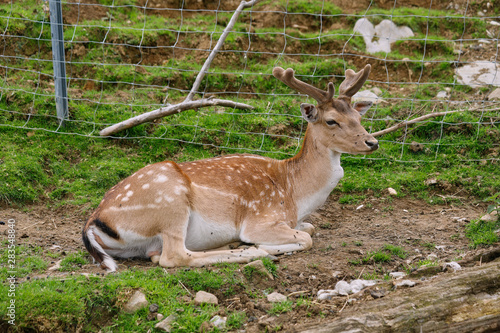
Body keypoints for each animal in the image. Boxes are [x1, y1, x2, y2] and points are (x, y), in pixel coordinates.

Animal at [83, 63, 378, 272]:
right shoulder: (261, 218)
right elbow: (306, 238)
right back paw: (251, 250)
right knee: (174, 256)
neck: (295, 193)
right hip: (170, 203)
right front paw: (262, 245)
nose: (372, 142)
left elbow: (311, 229)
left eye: (358, 115)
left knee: (157, 254)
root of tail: (93, 222)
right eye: (331, 121)